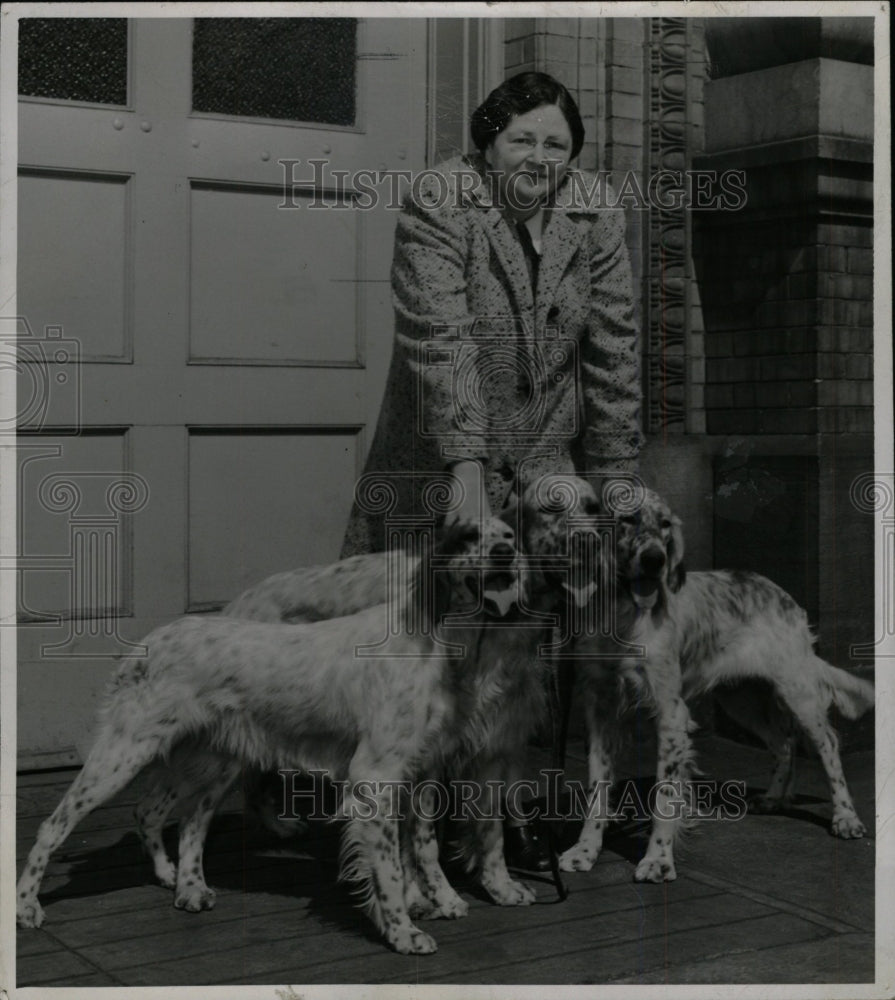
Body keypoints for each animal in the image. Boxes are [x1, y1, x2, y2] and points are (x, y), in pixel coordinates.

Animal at [17, 516, 528, 952]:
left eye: (508, 534)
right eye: (469, 538)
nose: (505, 554)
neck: (430, 637)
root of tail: (148, 642)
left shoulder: (418, 772)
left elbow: (418, 848)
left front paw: (430, 904)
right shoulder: (376, 776)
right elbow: (389, 868)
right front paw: (403, 933)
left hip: (213, 760)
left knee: (171, 816)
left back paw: (184, 884)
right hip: (123, 753)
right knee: (55, 826)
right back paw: (26, 906)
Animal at [560, 484, 876, 876]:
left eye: (665, 524)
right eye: (627, 519)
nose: (655, 560)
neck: (622, 613)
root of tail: (782, 595)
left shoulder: (670, 713)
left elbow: (665, 795)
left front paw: (658, 860)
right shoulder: (599, 710)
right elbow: (597, 789)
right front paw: (586, 850)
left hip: (797, 691)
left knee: (828, 745)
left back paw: (845, 818)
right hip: (742, 700)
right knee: (784, 743)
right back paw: (773, 798)